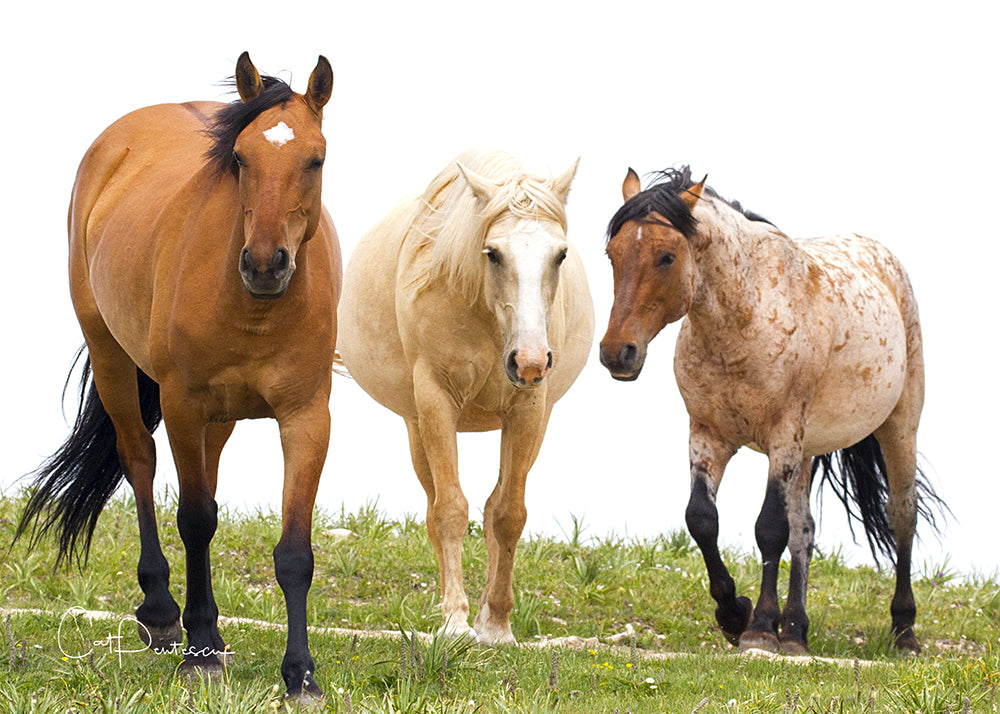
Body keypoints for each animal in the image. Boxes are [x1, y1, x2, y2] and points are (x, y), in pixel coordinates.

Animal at [15, 54, 340, 696]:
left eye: (314, 159)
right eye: (240, 158)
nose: (264, 264)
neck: (256, 309)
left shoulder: (307, 417)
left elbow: (294, 551)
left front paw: (300, 674)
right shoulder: (183, 404)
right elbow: (194, 519)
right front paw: (201, 651)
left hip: (221, 416)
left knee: (204, 484)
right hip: (113, 356)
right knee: (140, 461)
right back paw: (166, 614)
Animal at [340, 149, 596, 640]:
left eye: (560, 255)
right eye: (492, 253)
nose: (529, 361)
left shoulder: (527, 408)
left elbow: (508, 514)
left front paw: (495, 623)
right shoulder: (435, 400)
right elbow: (450, 511)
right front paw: (455, 622)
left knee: (496, 505)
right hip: (417, 427)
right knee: (434, 508)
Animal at [600, 167, 944, 656]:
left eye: (666, 257)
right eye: (612, 254)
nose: (617, 353)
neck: (746, 319)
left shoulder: (782, 437)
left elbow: (769, 529)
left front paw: (760, 628)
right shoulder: (708, 435)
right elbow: (702, 520)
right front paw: (733, 614)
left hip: (898, 427)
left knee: (902, 515)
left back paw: (904, 631)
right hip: (808, 449)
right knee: (806, 530)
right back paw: (797, 631)